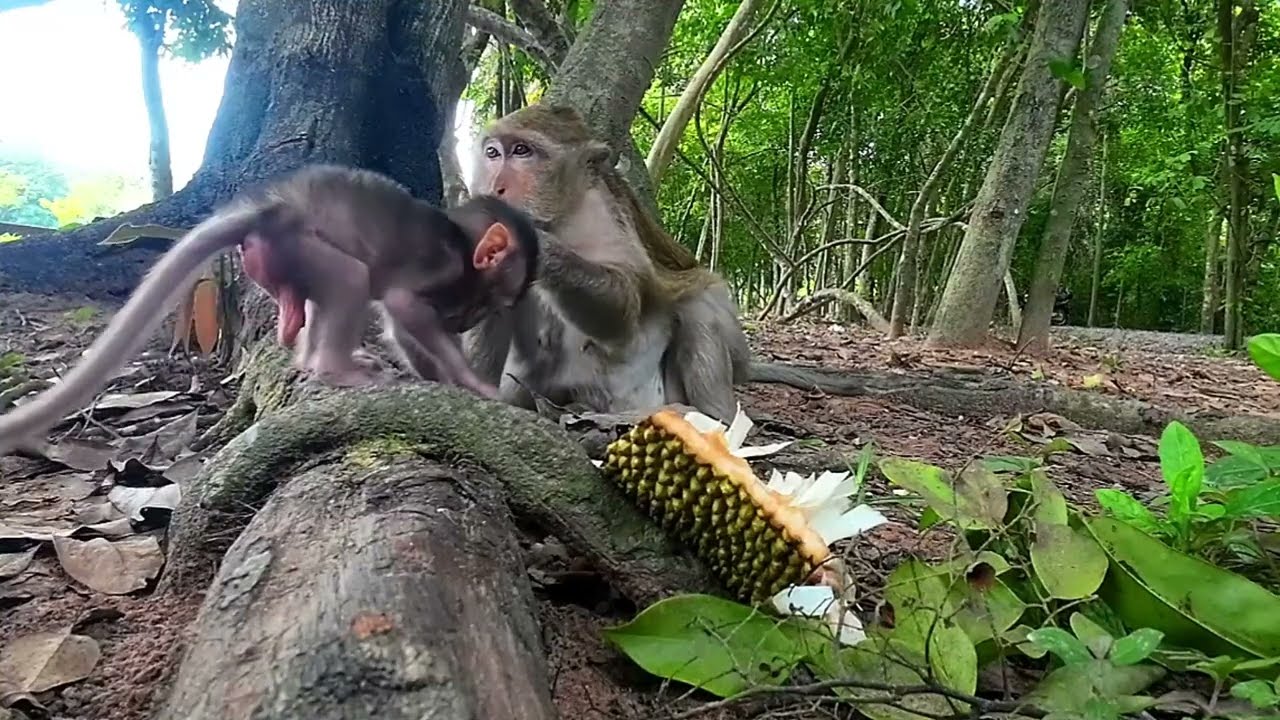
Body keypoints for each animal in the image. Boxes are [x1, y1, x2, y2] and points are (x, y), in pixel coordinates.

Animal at [0, 165, 539, 457]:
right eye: (492, 302)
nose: (466, 321)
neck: (460, 244)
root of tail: (270, 210)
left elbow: (400, 322)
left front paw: (441, 379)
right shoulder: (438, 271)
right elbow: (405, 307)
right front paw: (469, 382)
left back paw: (305, 343)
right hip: (299, 245)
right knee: (350, 278)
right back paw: (335, 368)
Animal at [463, 104, 751, 423]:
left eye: (521, 151)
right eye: (493, 153)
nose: (495, 188)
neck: (560, 217)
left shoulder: (600, 211)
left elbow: (623, 307)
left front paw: (539, 248)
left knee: (701, 303)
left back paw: (716, 419)